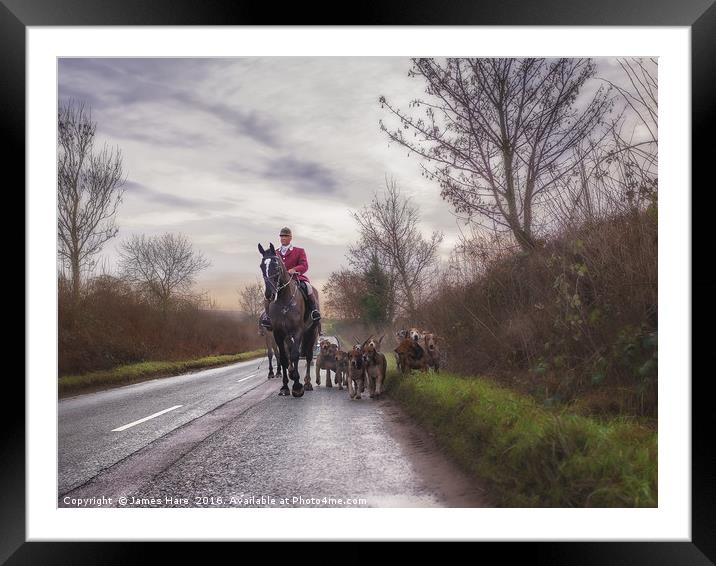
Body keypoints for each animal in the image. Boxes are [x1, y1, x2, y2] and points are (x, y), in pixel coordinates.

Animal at [258, 244, 318, 400]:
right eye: (261, 266)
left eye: (276, 265)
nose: (269, 294)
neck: (284, 300)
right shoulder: (278, 334)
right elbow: (284, 357)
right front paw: (285, 386)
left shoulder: (297, 331)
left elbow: (296, 355)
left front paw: (297, 386)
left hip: (312, 331)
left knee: (308, 356)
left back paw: (307, 383)